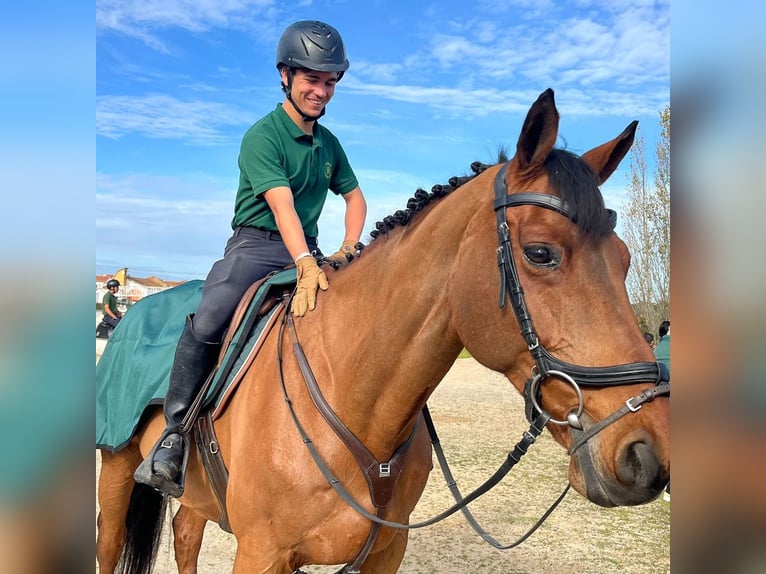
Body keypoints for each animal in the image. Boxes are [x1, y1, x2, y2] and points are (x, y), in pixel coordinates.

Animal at [96, 90, 672, 574]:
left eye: (624, 261)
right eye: (540, 253)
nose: (648, 453)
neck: (352, 394)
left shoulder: (385, 552)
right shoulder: (261, 552)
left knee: (185, 534)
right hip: (116, 472)